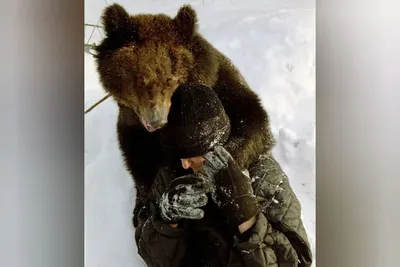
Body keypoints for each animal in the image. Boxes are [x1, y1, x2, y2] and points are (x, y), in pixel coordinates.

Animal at [93, 3, 276, 227]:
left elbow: (253, 124)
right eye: (140, 79)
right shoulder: (133, 127)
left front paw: (222, 172)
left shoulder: (226, 89)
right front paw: (147, 205)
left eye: (170, 79)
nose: (156, 120)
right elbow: (139, 161)